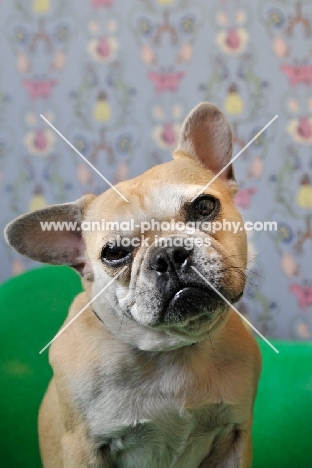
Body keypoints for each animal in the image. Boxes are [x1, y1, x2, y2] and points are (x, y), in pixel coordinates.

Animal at [4, 103, 260, 468]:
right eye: (114, 253)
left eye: (204, 206)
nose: (170, 254)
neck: (172, 351)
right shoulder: (83, 448)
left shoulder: (235, 436)